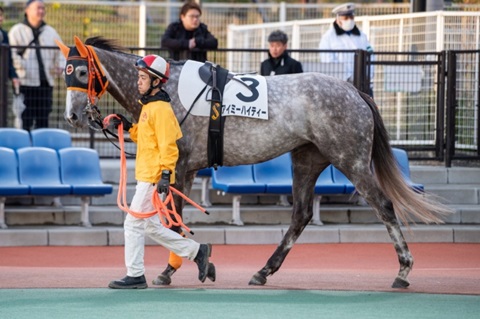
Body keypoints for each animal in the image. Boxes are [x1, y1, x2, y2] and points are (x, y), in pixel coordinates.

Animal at [56, 37, 450, 290]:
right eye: (64, 71)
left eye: (80, 72)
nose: (73, 116)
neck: (166, 90)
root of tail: (354, 91)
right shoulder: (188, 169)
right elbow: (174, 220)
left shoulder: (180, 167)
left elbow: (174, 219)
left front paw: (174, 269)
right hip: (307, 158)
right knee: (301, 215)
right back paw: (263, 271)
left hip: (349, 159)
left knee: (383, 205)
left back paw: (403, 271)